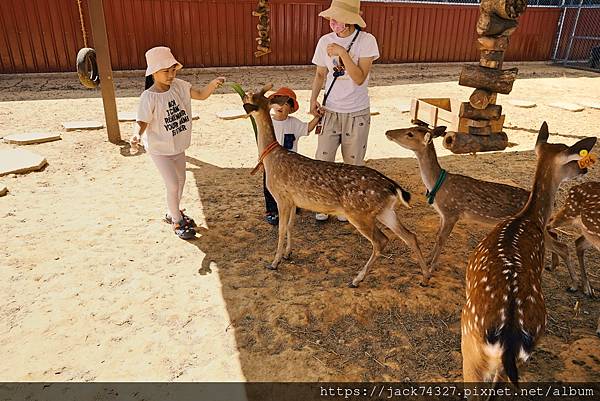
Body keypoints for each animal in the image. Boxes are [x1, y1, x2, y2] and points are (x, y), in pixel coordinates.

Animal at [241, 84, 428, 286]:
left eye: (250, 97)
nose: (243, 95)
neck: (271, 158)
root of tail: (393, 187)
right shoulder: (293, 200)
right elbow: (290, 226)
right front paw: (287, 254)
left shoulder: (282, 196)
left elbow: (282, 230)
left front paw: (274, 262)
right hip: (385, 211)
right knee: (410, 236)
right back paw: (425, 277)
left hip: (358, 212)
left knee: (381, 240)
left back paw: (357, 279)